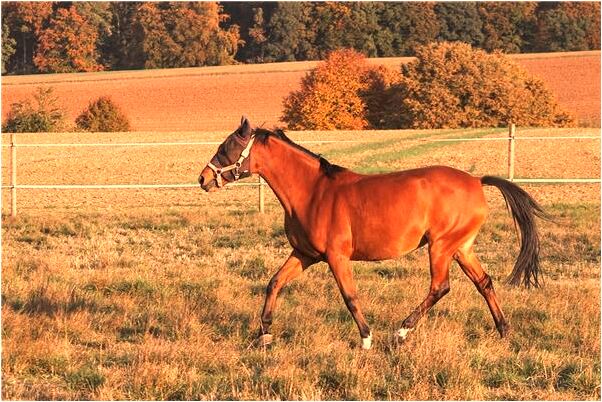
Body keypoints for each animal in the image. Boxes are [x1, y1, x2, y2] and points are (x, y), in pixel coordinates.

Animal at [199, 116, 548, 348]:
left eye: (227, 147)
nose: (203, 179)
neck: (313, 192)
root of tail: (476, 181)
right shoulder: (304, 254)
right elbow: (274, 283)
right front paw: (265, 335)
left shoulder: (336, 257)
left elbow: (350, 296)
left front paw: (366, 338)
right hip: (461, 248)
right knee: (484, 282)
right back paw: (504, 331)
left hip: (441, 247)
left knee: (440, 287)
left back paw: (401, 332)